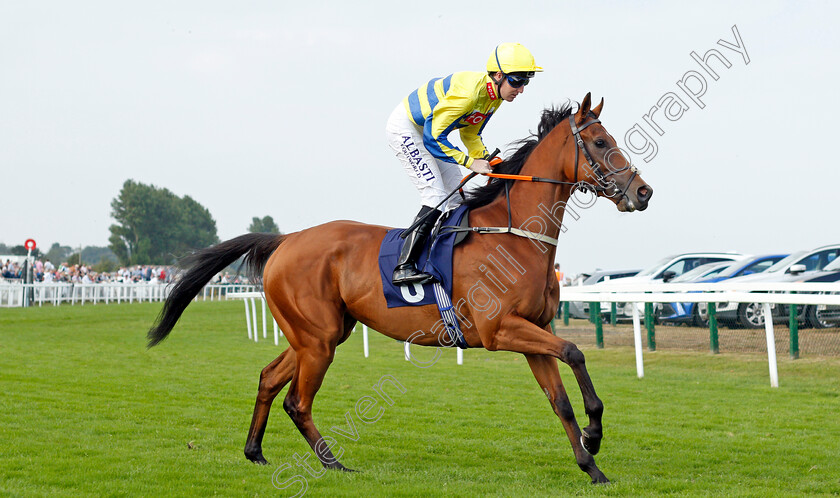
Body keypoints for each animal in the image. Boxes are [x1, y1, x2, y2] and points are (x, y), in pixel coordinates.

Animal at [148, 92, 652, 482]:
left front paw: (592, 465)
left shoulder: (534, 330)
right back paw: (333, 464)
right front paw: (594, 435)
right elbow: (575, 352)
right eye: (600, 141)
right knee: (297, 400)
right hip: (318, 339)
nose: (643, 192)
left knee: (270, 379)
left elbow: (560, 401)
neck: (514, 235)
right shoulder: (500, 330)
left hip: (319, 334)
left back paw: (255, 451)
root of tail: (287, 239)